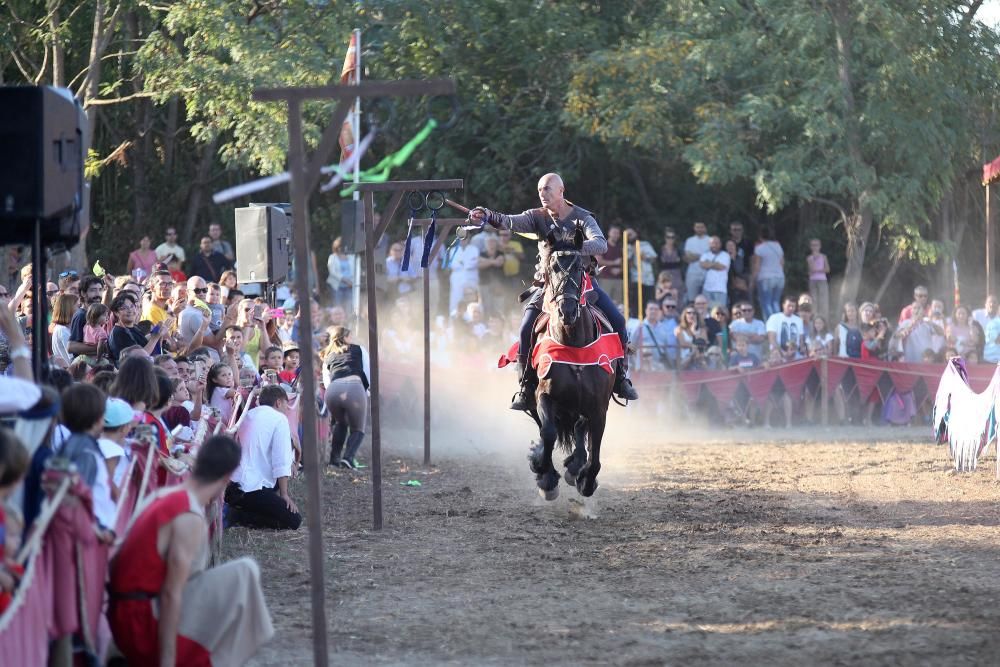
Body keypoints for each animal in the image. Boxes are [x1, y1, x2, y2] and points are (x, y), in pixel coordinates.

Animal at [528, 227, 612, 498]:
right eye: (553, 267)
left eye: (579, 268)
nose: (567, 310)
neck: (574, 344)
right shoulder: (543, 395)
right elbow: (548, 433)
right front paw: (544, 473)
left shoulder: (599, 407)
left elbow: (594, 451)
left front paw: (586, 479)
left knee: (579, 429)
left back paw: (576, 466)